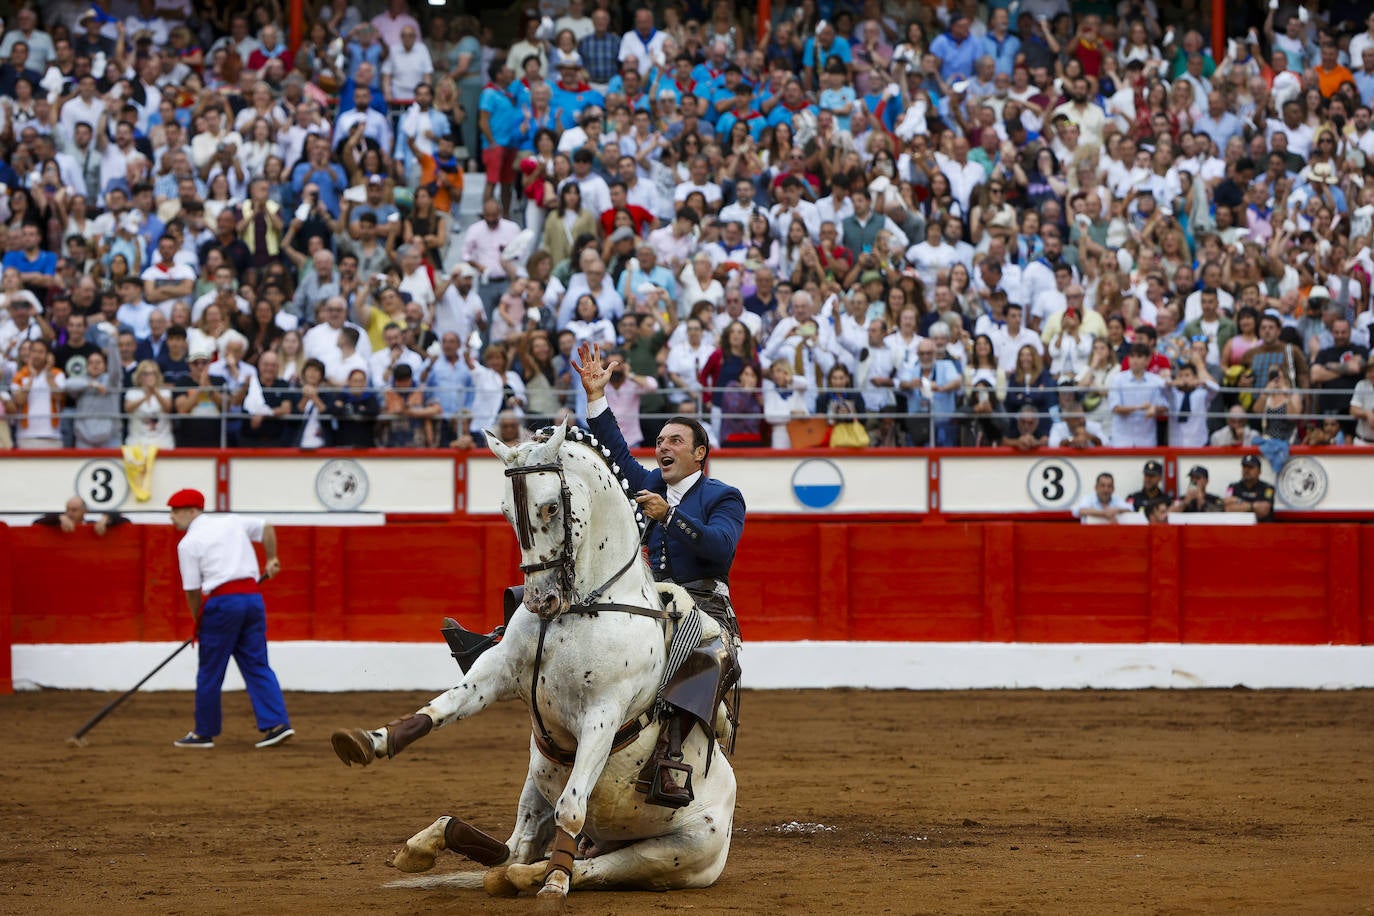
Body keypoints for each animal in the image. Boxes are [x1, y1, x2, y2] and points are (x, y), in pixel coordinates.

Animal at [331, 420, 736, 900]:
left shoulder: (604, 710)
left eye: (550, 508)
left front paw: (554, 884)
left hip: (680, 852)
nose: (541, 600)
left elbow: (572, 806)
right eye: (507, 512)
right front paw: (369, 741)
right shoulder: (498, 671)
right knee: (516, 847)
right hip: (536, 786)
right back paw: (435, 844)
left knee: (592, 865)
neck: (578, 607)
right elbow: (442, 707)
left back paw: (543, 874)